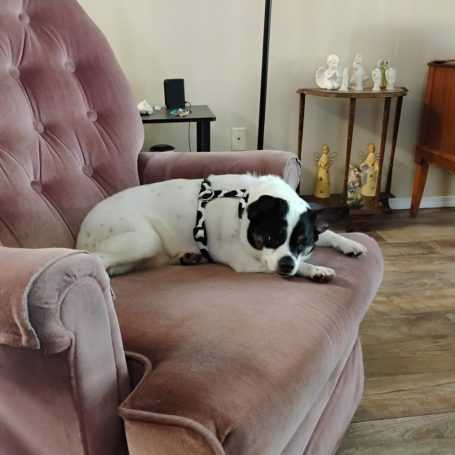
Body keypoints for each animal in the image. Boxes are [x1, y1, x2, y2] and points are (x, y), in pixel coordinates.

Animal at [76, 174, 367, 282]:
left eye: (303, 244)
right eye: (270, 237)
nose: (286, 265)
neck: (245, 209)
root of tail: (81, 235)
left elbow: (329, 234)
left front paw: (350, 243)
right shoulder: (246, 262)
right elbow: (298, 267)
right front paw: (316, 269)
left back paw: (187, 257)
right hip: (144, 239)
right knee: (98, 259)